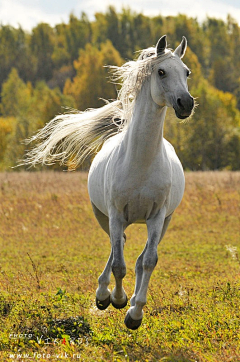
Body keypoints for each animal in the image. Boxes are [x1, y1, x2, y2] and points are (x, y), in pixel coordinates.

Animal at [23, 36, 194, 328]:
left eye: (186, 72)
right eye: (161, 72)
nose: (186, 103)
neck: (140, 161)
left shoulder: (157, 217)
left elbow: (148, 261)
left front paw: (135, 313)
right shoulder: (115, 214)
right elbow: (118, 264)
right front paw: (116, 299)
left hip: (163, 222)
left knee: (136, 256)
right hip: (105, 216)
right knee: (119, 246)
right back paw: (104, 294)